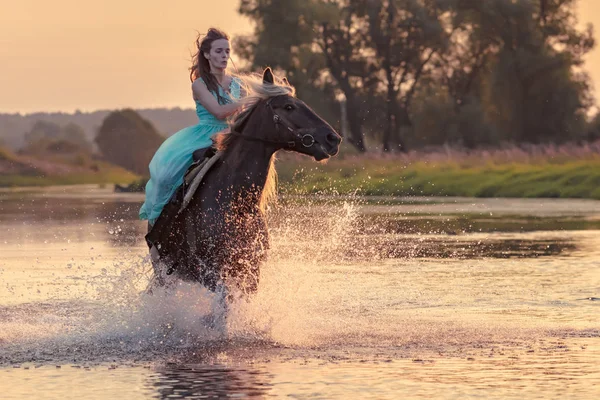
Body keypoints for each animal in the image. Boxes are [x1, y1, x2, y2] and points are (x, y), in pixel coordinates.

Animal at [146, 69, 342, 296]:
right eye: (289, 106)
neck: (235, 199)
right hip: (163, 271)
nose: (333, 138)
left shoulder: (250, 271)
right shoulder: (212, 272)